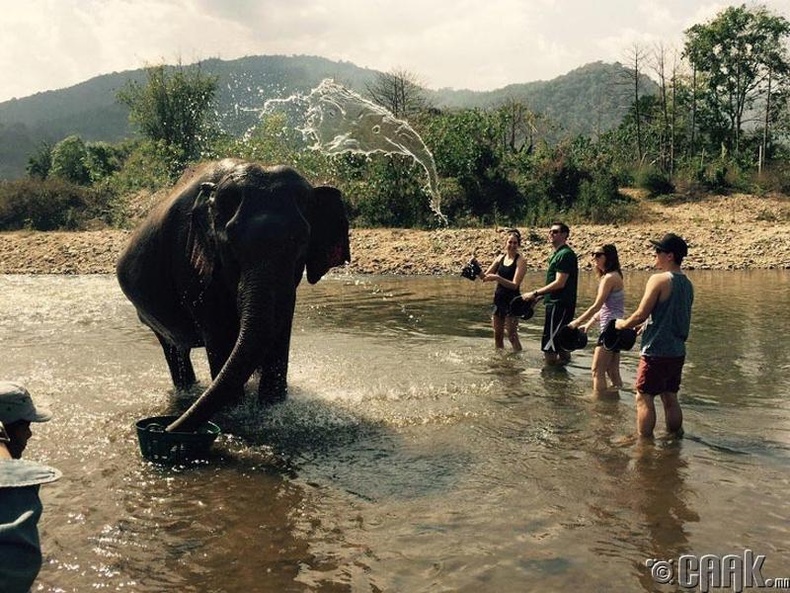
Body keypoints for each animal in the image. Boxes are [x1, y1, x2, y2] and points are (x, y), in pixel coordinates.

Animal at [116, 160, 352, 432]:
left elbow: (279, 330)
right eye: (230, 244)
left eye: (302, 242)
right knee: (174, 351)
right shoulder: (191, 263)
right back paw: (188, 392)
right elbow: (219, 333)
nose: (165, 429)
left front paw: (272, 407)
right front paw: (235, 410)